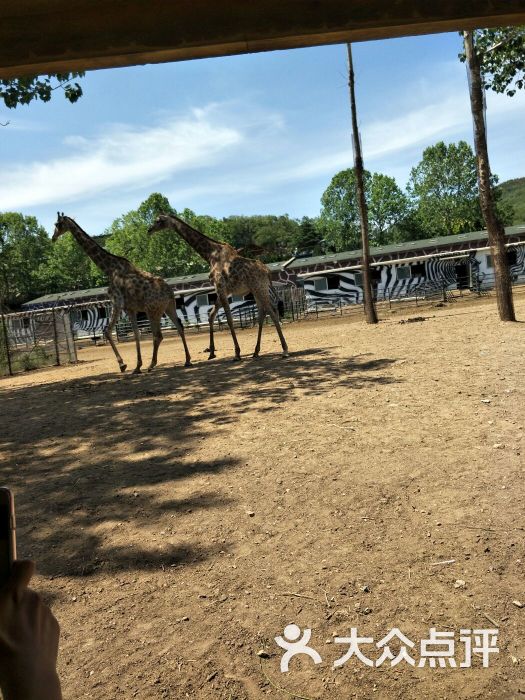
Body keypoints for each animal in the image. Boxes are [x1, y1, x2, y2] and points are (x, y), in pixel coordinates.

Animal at [52, 213, 191, 374]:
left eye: (58, 224)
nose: (53, 237)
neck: (109, 269)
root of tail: (169, 292)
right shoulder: (130, 308)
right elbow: (136, 334)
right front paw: (137, 366)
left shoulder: (117, 302)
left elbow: (108, 331)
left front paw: (123, 364)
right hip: (169, 307)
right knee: (179, 327)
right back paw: (187, 360)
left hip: (153, 310)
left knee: (158, 335)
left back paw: (152, 364)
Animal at [147, 213, 288, 360]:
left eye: (159, 221)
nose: (149, 230)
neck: (209, 254)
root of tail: (267, 272)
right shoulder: (222, 290)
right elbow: (211, 315)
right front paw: (211, 352)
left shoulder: (219, 286)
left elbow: (229, 319)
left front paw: (237, 353)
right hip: (256, 290)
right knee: (262, 314)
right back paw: (256, 351)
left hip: (259, 288)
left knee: (272, 312)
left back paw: (284, 350)